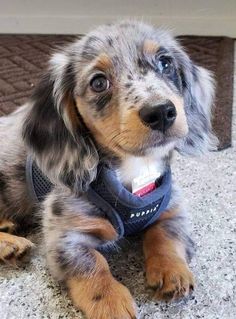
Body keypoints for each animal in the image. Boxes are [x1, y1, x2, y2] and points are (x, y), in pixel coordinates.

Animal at [0, 21, 217, 318]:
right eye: (99, 82)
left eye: (165, 63)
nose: (161, 112)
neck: (135, 171)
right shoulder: (63, 238)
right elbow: (92, 263)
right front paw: (111, 301)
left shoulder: (172, 208)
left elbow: (166, 235)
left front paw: (173, 270)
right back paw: (10, 244)